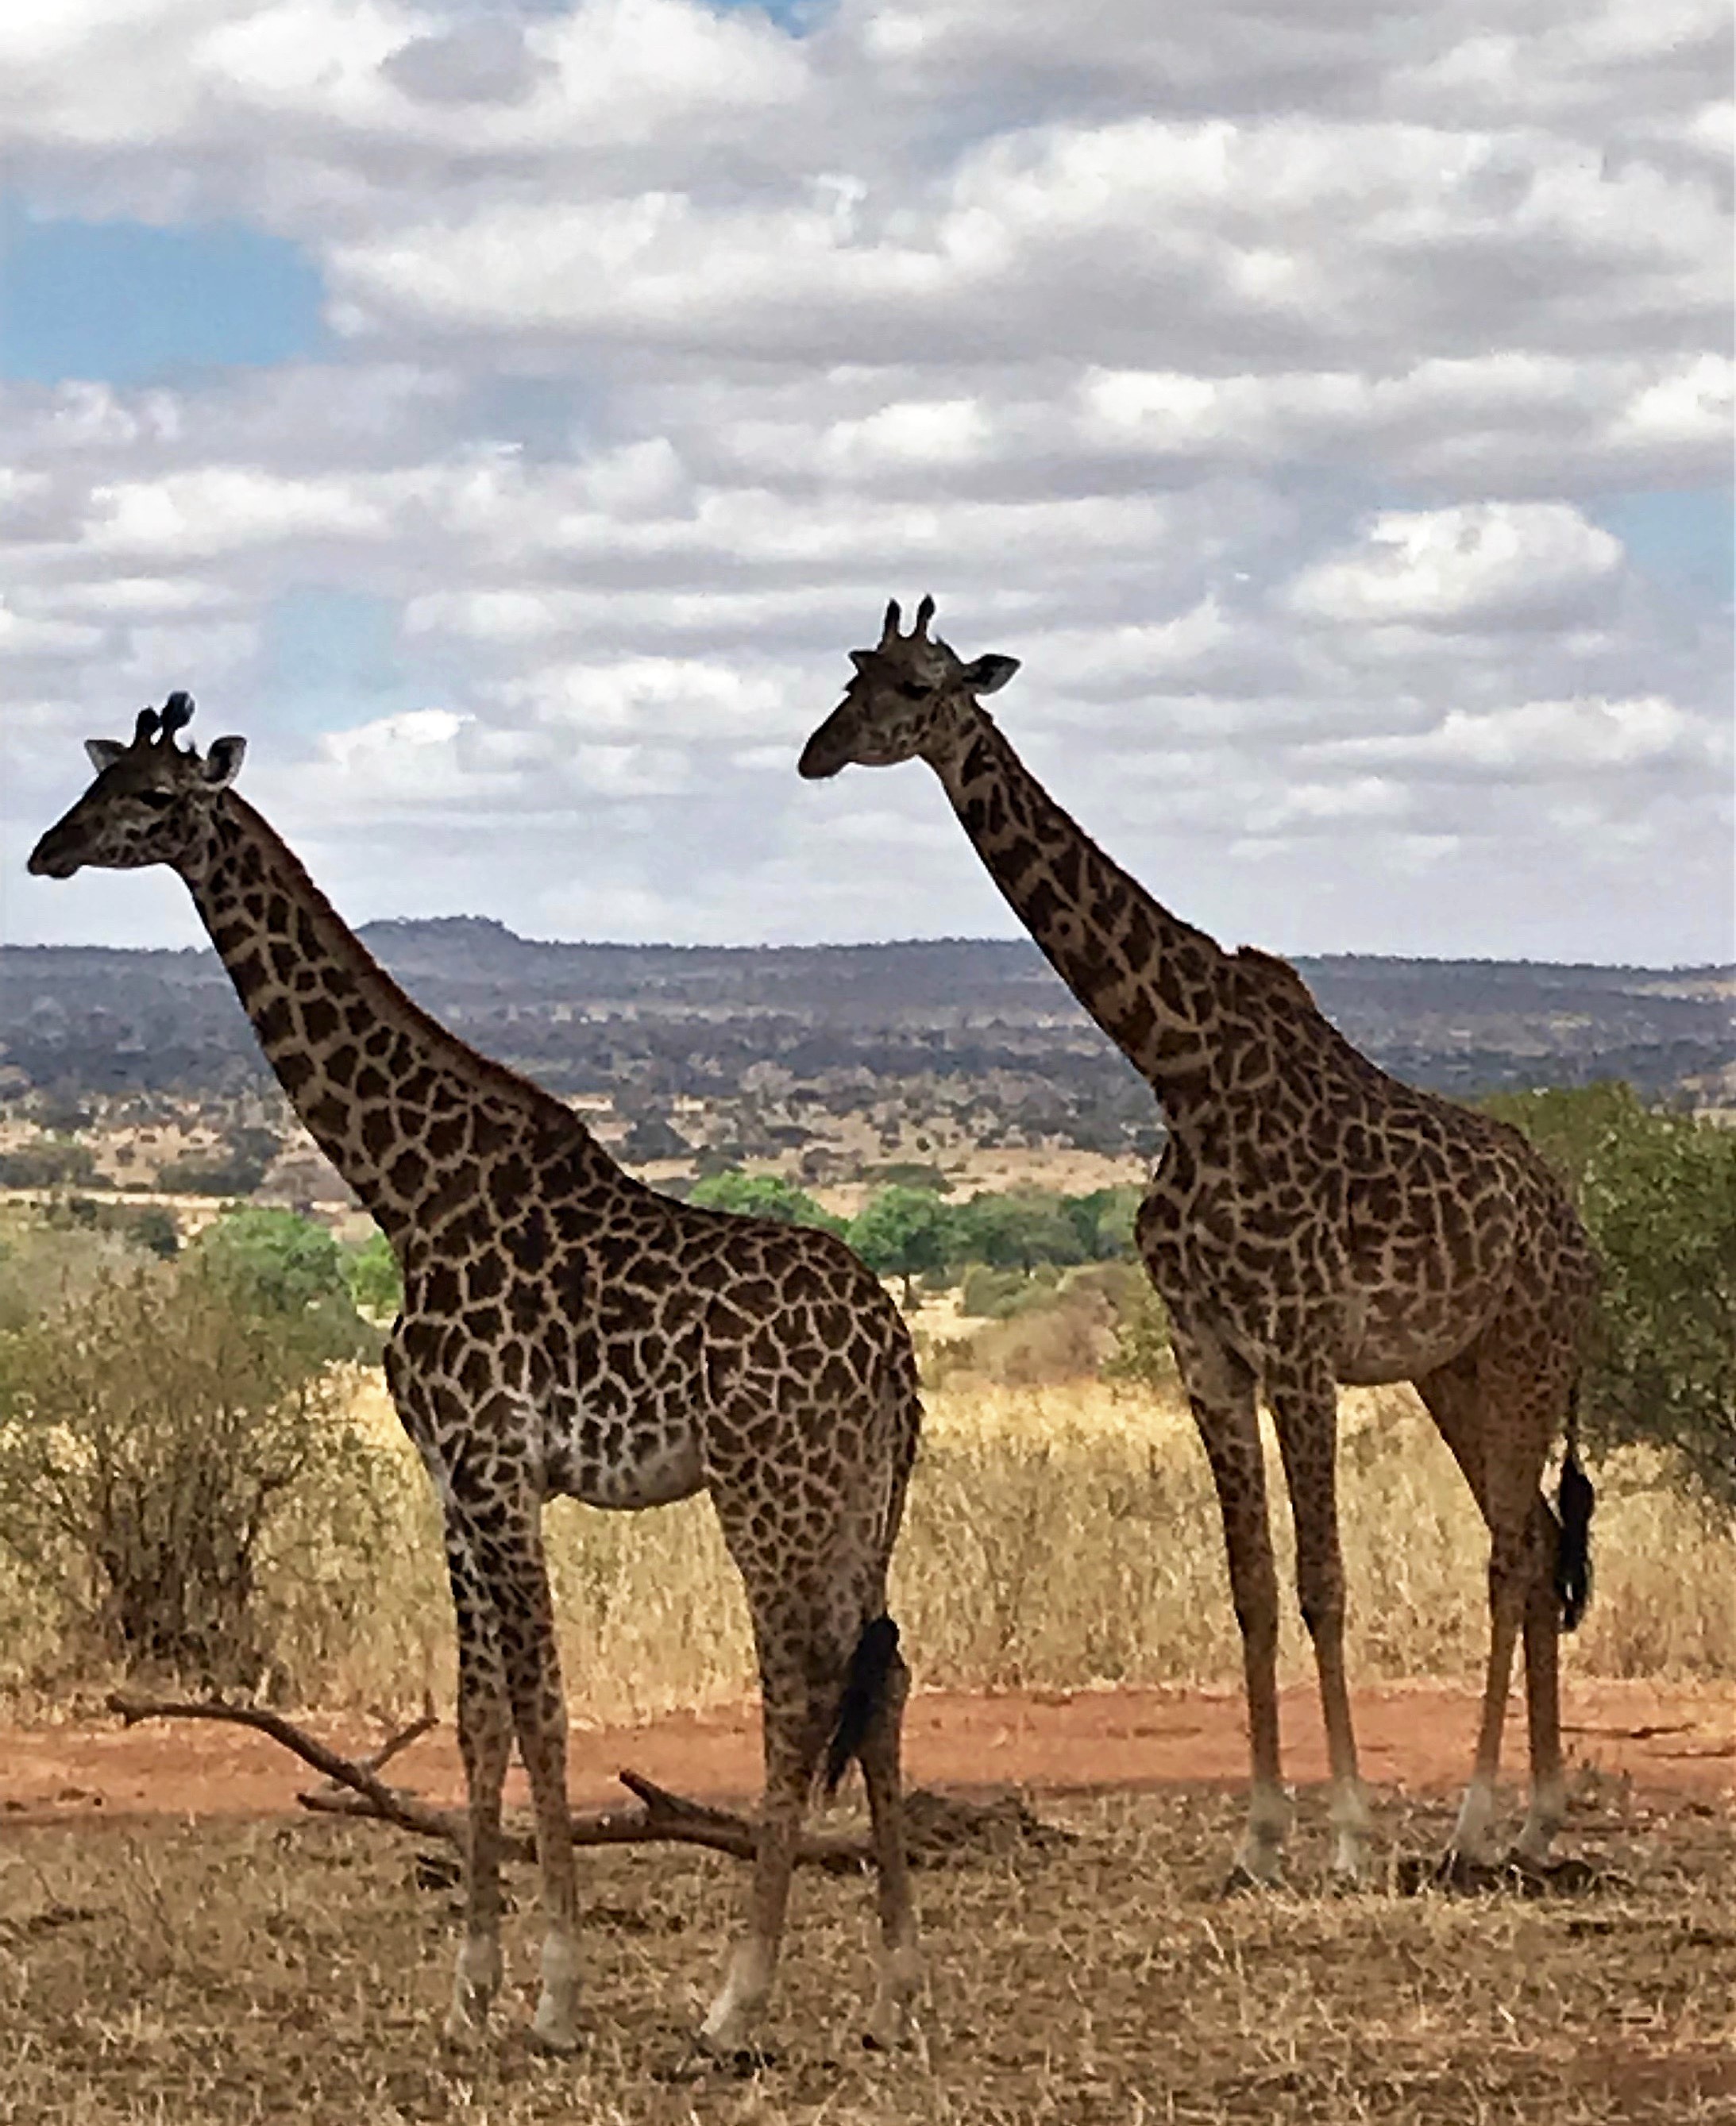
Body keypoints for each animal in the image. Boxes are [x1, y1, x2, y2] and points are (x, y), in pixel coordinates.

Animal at [28, 695, 924, 2055]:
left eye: (156, 799)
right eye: (101, 782)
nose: (47, 850)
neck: (407, 1195)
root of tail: (892, 1344)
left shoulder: (501, 1467)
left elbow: (548, 1710)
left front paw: (555, 1995)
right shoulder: (451, 1478)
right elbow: (477, 1714)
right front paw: (470, 1991)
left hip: (769, 1488)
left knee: (801, 1686)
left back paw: (734, 2002)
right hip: (858, 1495)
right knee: (880, 1675)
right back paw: (890, 1991)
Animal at [799, 598, 1598, 1888]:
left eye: (919, 686)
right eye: (849, 676)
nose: (815, 754)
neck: (1178, 1067)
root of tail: (1576, 1227)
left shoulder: (1299, 1345)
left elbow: (1323, 1584)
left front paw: (1347, 1834)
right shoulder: (1207, 1351)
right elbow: (1251, 1588)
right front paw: (1259, 1836)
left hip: (1528, 1352)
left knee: (1512, 1554)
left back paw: (1483, 1818)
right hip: (1454, 1370)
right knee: (1523, 1539)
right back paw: (1526, 1818)